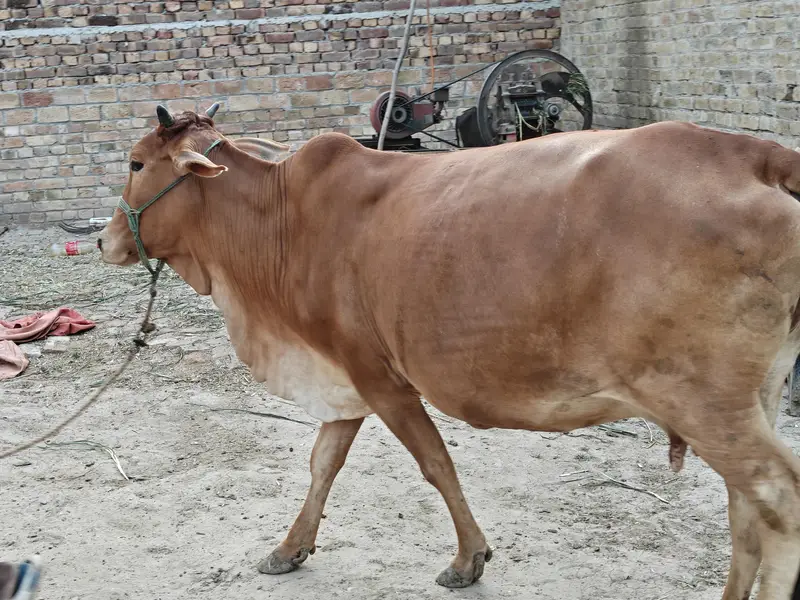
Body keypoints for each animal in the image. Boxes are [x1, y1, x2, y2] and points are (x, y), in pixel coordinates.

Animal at [97, 104, 800, 600]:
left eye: (135, 164)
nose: (104, 241)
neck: (282, 219)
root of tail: (756, 152)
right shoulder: (346, 376)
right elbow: (323, 464)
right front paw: (290, 549)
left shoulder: (380, 379)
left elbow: (435, 464)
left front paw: (468, 560)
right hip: (752, 397)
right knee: (747, 510)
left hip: (705, 401)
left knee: (777, 502)